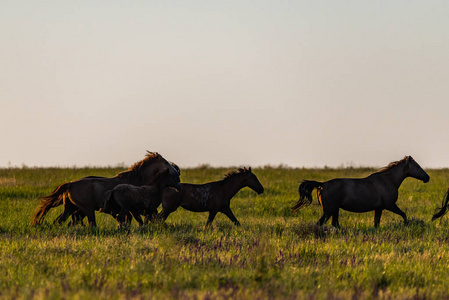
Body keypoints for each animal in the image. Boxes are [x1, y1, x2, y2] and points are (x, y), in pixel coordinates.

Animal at [31, 151, 180, 226]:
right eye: (166, 163)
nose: (179, 180)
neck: (135, 181)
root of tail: (70, 184)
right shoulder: (131, 209)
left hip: (72, 209)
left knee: (61, 221)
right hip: (87, 210)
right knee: (89, 224)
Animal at [290, 156, 428, 229]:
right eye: (417, 166)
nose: (427, 177)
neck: (388, 180)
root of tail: (322, 184)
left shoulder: (379, 208)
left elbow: (376, 223)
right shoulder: (390, 205)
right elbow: (404, 215)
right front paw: (406, 225)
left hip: (334, 210)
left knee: (335, 224)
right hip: (329, 210)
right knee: (320, 223)